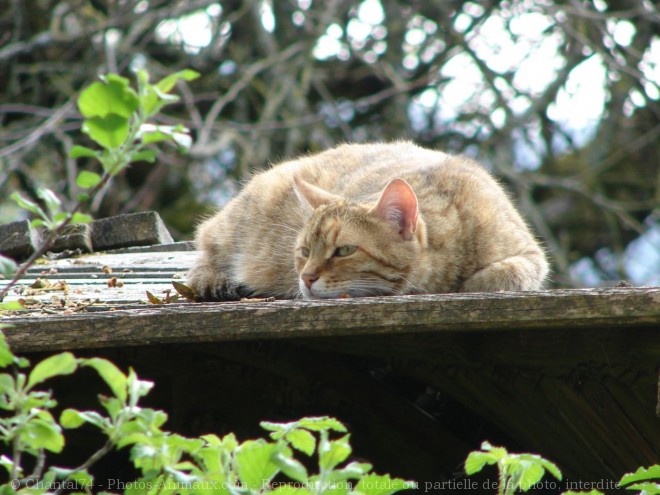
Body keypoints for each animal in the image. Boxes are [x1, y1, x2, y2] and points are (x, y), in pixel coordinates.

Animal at [188, 141, 548, 300]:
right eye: (304, 251)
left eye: (344, 251)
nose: (305, 277)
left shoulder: (530, 257)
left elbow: (504, 273)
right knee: (205, 243)